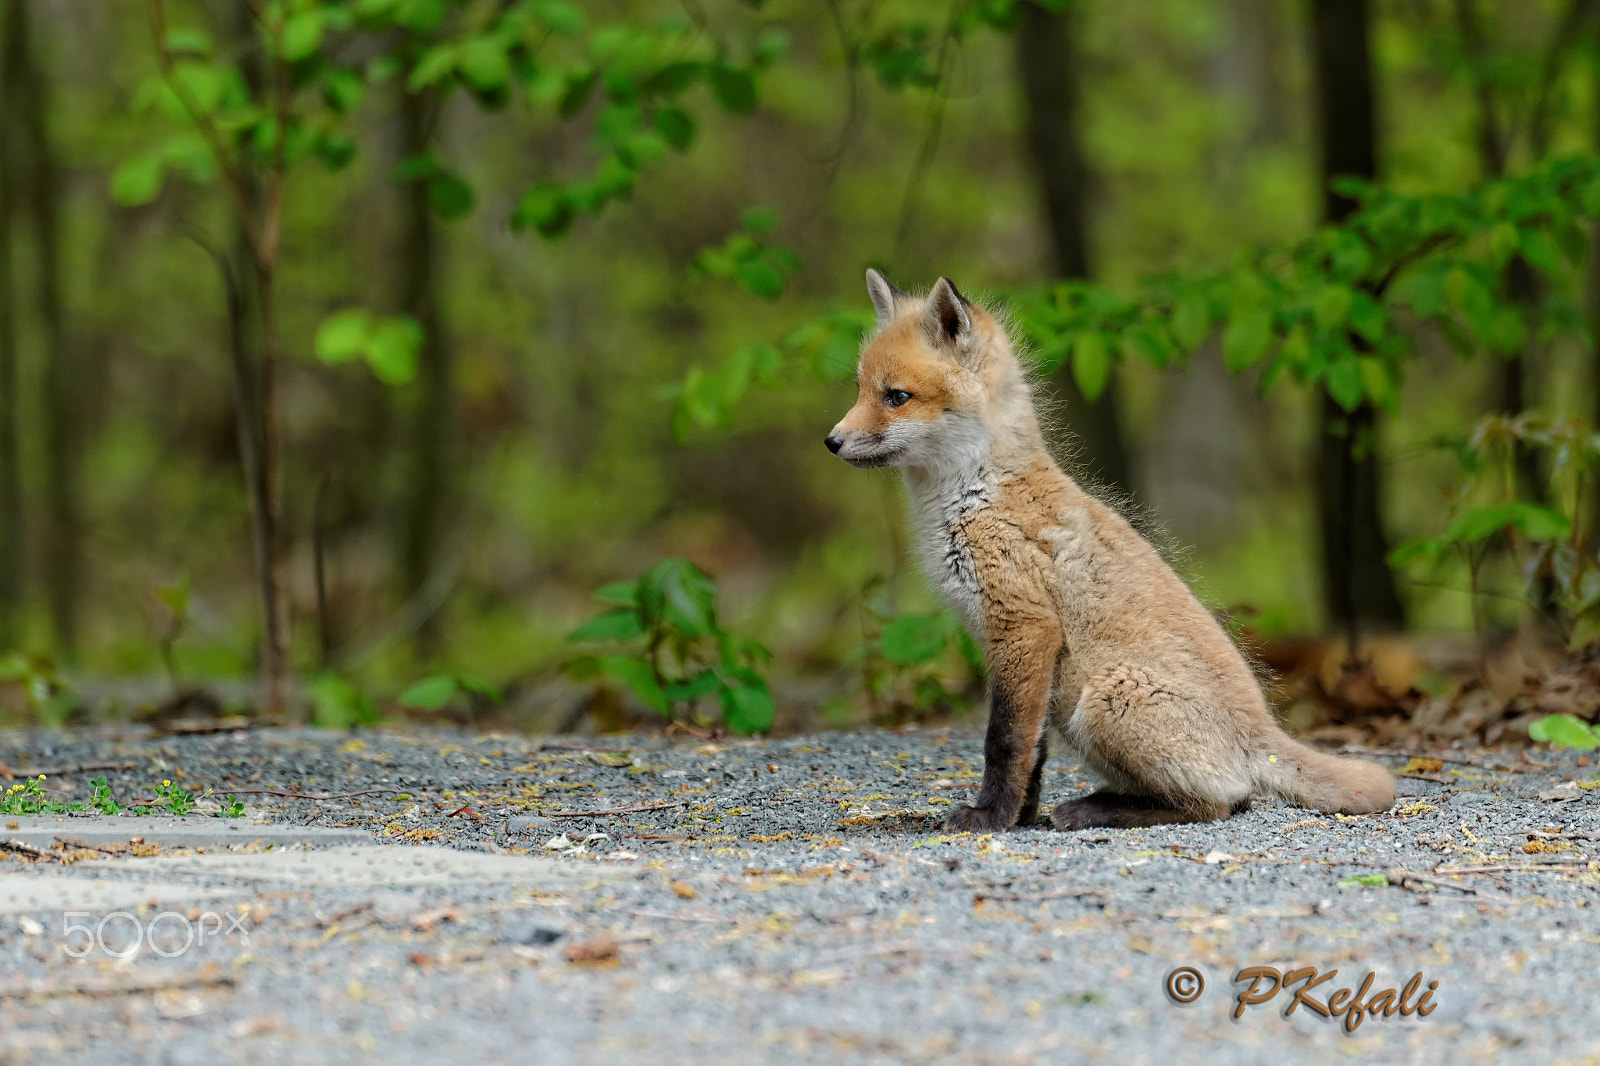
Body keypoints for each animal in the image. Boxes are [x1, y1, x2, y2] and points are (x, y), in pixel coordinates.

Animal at [824, 270, 1396, 831]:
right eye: (859, 389)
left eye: (896, 397)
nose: (831, 441)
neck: (978, 495)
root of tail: (1263, 732)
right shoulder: (1015, 650)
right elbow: (1032, 752)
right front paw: (1021, 815)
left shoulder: (1024, 627)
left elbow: (1004, 743)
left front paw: (991, 818)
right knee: (1235, 800)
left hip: (1106, 700)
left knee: (1218, 804)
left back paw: (1097, 809)